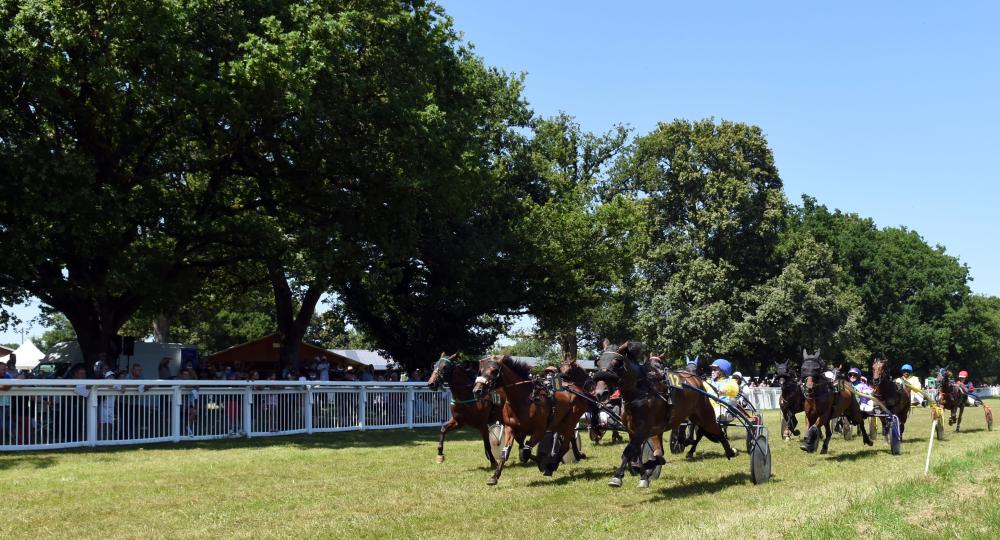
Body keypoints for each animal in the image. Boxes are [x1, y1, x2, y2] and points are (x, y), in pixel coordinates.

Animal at [472, 354, 588, 486]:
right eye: (480, 371)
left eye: (494, 371)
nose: (477, 391)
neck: (524, 400)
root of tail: (576, 388)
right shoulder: (510, 428)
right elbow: (508, 452)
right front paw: (494, 477)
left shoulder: (539, 430)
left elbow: (525, 452)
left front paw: (545, 464)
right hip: (559, 423)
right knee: (571, 438)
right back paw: (577, 455)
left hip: (570, 420)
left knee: (565, 446)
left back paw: (553, 465)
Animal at [592, 342, 736, 490]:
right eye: (598, 362)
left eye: (616, 363)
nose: (600, 393)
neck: (640, 393)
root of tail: (697, 380)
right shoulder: (634, 431)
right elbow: (639, 456)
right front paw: (644, 474)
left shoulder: (643, 431)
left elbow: (629, 452)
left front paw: (617, 477)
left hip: (704, 416)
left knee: (716, 431)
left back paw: (729, 450)